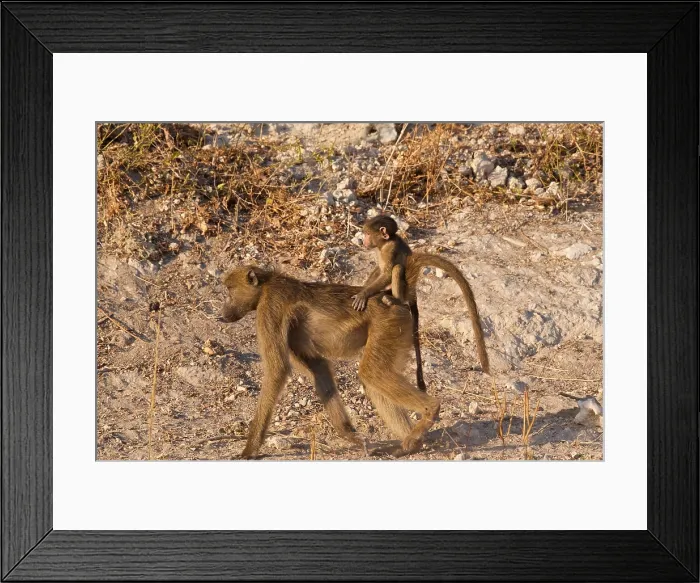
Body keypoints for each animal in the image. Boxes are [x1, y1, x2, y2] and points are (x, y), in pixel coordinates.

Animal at [221, 265, 441, 460]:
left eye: (230, 291)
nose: (222, 313)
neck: (266, 284)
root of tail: (397, 301)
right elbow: (319, 368)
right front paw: (350, 435)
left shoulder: (270, 308)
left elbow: (277, 370)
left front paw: (249, 451)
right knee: (373, 380)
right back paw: (410, 445)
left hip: (387, 324)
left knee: (372, 372)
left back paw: (430, 412)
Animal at [353, 215, 490, 393]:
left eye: (368, 234)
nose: (364, 242)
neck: (385, 243)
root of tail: (411, 292)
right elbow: (379, 270)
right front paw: (363, 288)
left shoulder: (390, 249)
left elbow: (387, 272)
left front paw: (363, 294)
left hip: (405, 289)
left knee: (397, 269)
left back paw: (395, 299)